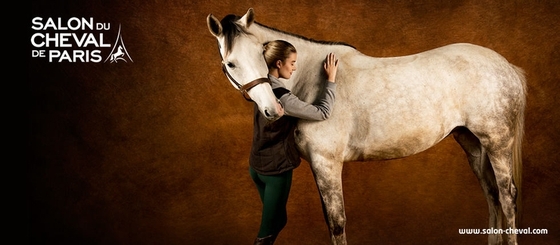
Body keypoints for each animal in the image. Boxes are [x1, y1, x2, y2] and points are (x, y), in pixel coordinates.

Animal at [206, 8, 524, 244]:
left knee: (507, 196)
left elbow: (336, 222)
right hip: (472, 143)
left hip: (497, 143)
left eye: (262, 55)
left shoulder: (327, 163)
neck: (310, 78)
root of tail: (507, 66)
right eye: (231, 63)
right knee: (491, 194)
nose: (273, 110)